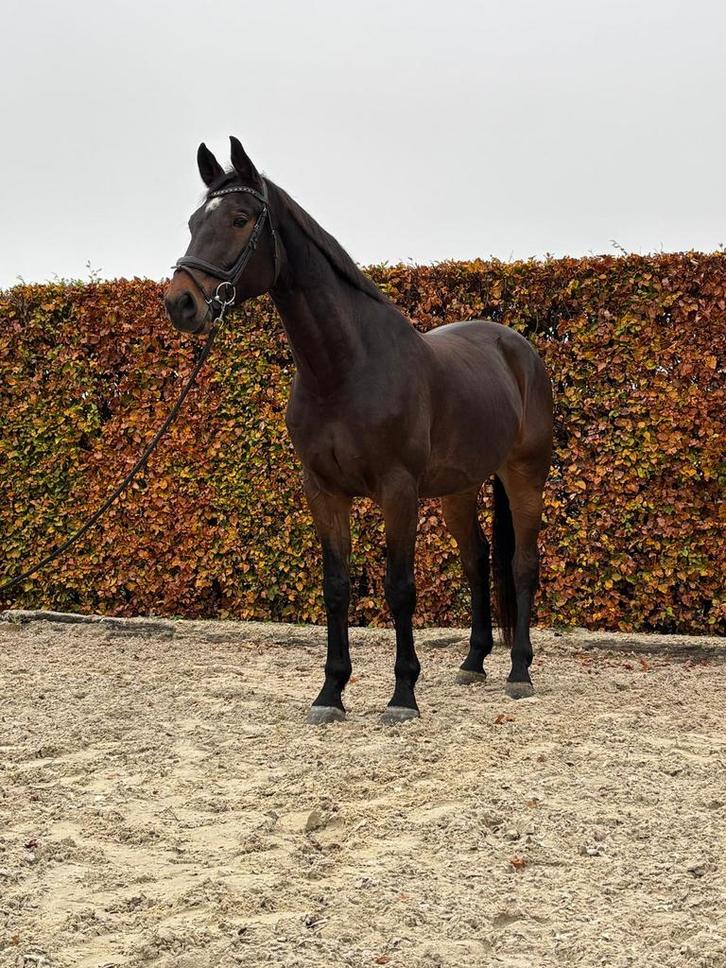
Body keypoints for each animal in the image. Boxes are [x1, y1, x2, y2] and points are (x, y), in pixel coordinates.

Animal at [164, 137, 553, 725]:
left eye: (238, 218)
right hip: (459, 489)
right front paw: (330, 692)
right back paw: (473, 662)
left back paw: (519, 672)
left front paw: (403, 695)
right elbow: (336, 586)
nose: (181, 303)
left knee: (522, 563)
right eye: (192, 221)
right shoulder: (323, 490)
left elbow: (399, 588)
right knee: (477, 560)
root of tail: (519, 349)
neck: (345, 369)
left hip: (523, 474)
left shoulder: (397, 491)